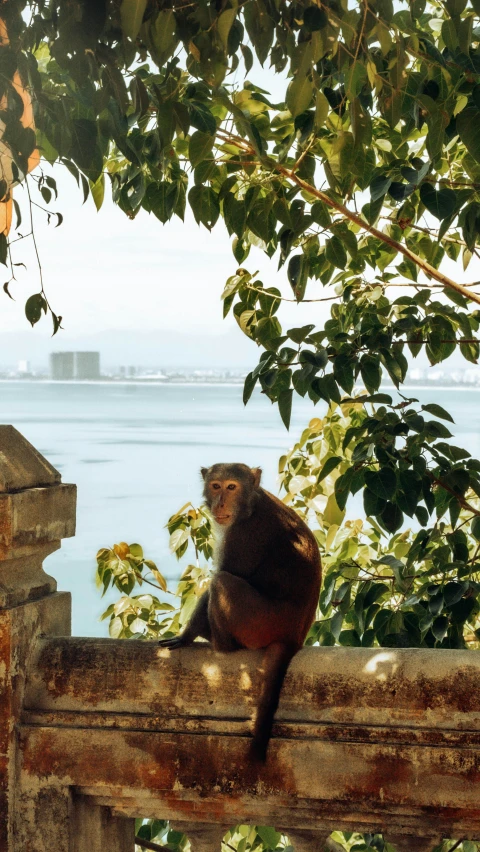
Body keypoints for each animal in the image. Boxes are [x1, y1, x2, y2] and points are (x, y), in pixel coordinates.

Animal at [158, 462, 322, 764]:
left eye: (231, 487)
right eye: (216, 486)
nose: (220, 502)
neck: (251, 504)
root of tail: (294, 637)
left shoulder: (242, 535)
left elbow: (225, 575)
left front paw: (187, 635)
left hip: (259, 622)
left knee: (223, 582)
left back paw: (219, 642)